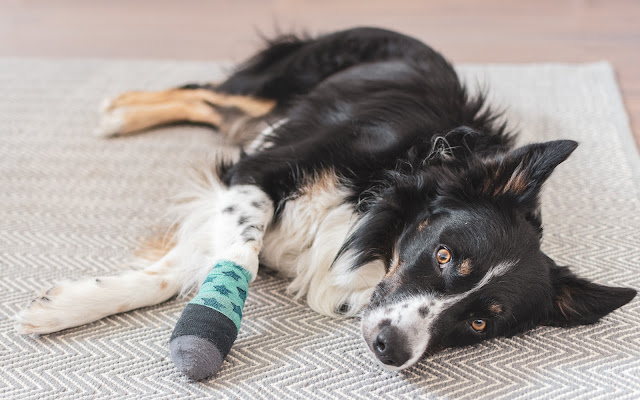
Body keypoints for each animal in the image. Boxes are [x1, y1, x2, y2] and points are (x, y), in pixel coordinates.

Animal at [15, 27, 636, 372]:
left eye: (482, 323)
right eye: (443, 255)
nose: (391, 348)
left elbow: (179, 268)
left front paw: (65, 304)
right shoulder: (256, 171)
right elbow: (235, 256)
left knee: (212, 104)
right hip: (279, 83)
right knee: (208, 93)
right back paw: (120, 111)